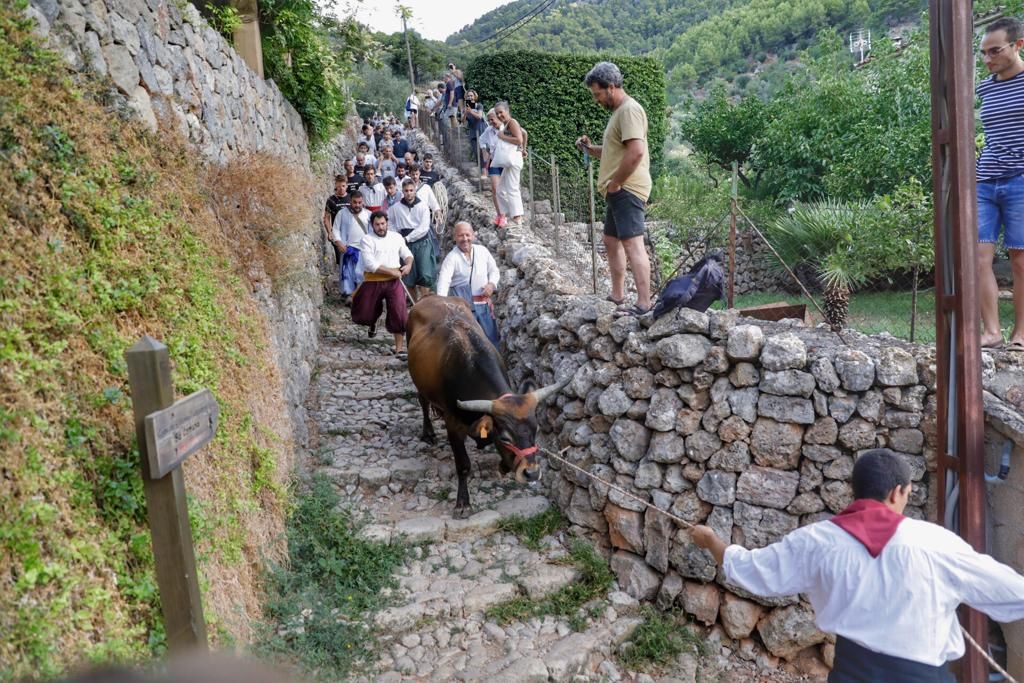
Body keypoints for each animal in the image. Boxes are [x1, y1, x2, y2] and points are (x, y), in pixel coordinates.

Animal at [405, 296, 569, 516]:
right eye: (505, 438)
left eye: (535, 431)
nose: (532, 474)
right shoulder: (453, 424)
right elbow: (463, 465)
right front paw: (463, 503)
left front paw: (502, 464)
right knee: (423, 402)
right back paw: (428, 433)